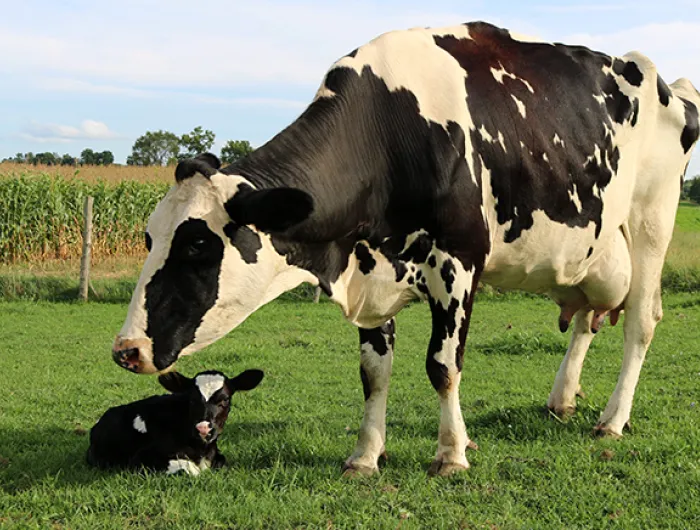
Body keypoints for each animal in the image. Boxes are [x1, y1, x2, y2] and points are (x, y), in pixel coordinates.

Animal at [87, 369, 264, 474]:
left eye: (225, 400)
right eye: (191, 399)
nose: (203, 429)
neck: (200, 449)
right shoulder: (140, 458)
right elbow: (190, 469)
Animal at [112, 21, 700, 476]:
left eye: (197, 246)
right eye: (149, 237)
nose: (125, 349)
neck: (387, 132)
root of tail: (668, 83)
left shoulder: (459, 264)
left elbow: (443, 365)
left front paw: (452, 454)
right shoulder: (371, 267)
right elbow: (374, 373)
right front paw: (365, 457)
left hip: (652, 221)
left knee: (640, 321)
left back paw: (612, 420)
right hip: (593, 250)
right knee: (585, 319)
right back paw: (562, 399)